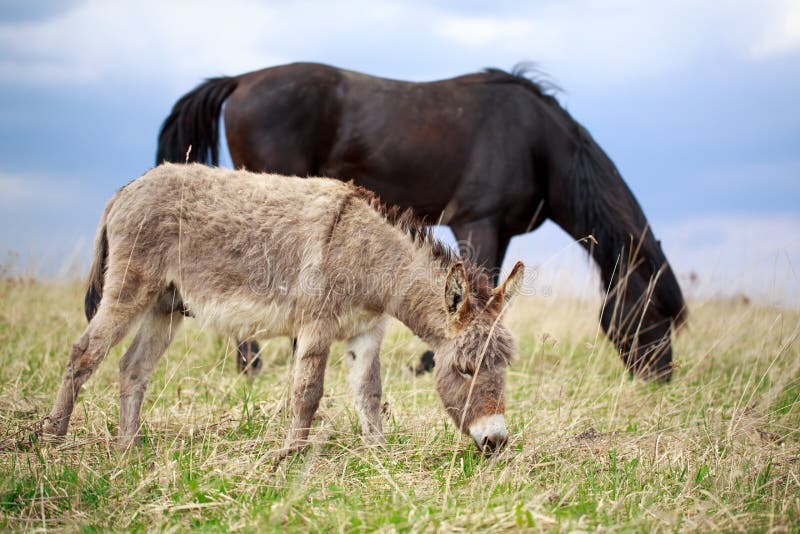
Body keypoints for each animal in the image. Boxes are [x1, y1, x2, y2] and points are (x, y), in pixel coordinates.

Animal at [44, 163, 523, 454]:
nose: (496, 441)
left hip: (166, 306)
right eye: (465, 370)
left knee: (132, 368)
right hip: (130, 290)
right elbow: (308, 392)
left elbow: (369, 394)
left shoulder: (366, 332)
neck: (368, 256)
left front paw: (379, 455)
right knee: (84, 353)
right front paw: (291, 456)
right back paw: (52, 437)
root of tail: (128, 187)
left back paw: (128, 448)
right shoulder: (316, 325)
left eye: (503, 368)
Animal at [156, 62, 687, 381]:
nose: (660, 378)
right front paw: (434, 360)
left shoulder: (500, 230)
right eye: (654, 313)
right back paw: (253, 364)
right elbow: (473, 281)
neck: (539, 144)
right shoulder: (478, 222)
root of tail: (242, 78)